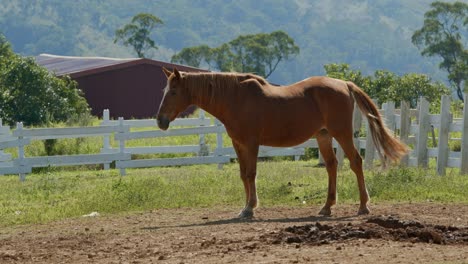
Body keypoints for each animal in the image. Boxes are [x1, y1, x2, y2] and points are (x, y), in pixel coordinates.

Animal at [156, 68, 406, 219]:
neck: (235, 98)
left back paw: (363, 206)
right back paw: (326, 207)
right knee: (332, 166)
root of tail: (344, 84)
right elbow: (243, 175)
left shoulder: (251, 143)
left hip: (342, 133)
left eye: (174, 91)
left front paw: (250, 208)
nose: (160, 120)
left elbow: (251, 174)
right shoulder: (238, 144)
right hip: (323, 136)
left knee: (355, 162)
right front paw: (245, 208)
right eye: (165, 90)